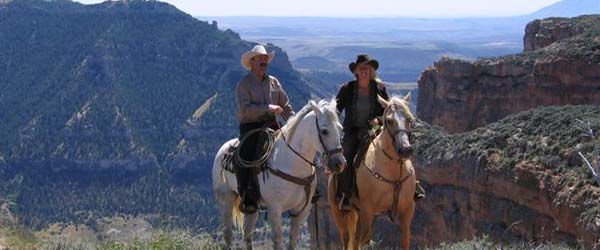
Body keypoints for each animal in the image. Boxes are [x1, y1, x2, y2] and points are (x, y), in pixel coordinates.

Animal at [214, 99, 346, 250]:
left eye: (340, 129)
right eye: (324, 131)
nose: (340, 163)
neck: (292, 164)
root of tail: (223, 149)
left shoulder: (301, 211)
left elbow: (293, 241)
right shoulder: (275, 210)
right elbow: (277, 240)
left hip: (251, 206)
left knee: (248, 231)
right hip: (226, 198)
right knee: (228, 233)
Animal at [328, 94, 418, 250]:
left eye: (409, 119)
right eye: (389, 120)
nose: (405, 149)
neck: (394, 173)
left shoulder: (407, 209)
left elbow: (405, 239)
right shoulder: (367, 209)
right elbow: (364, 239)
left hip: (358, 212)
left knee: (355, 239)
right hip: (338, 211)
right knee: (347, 238)